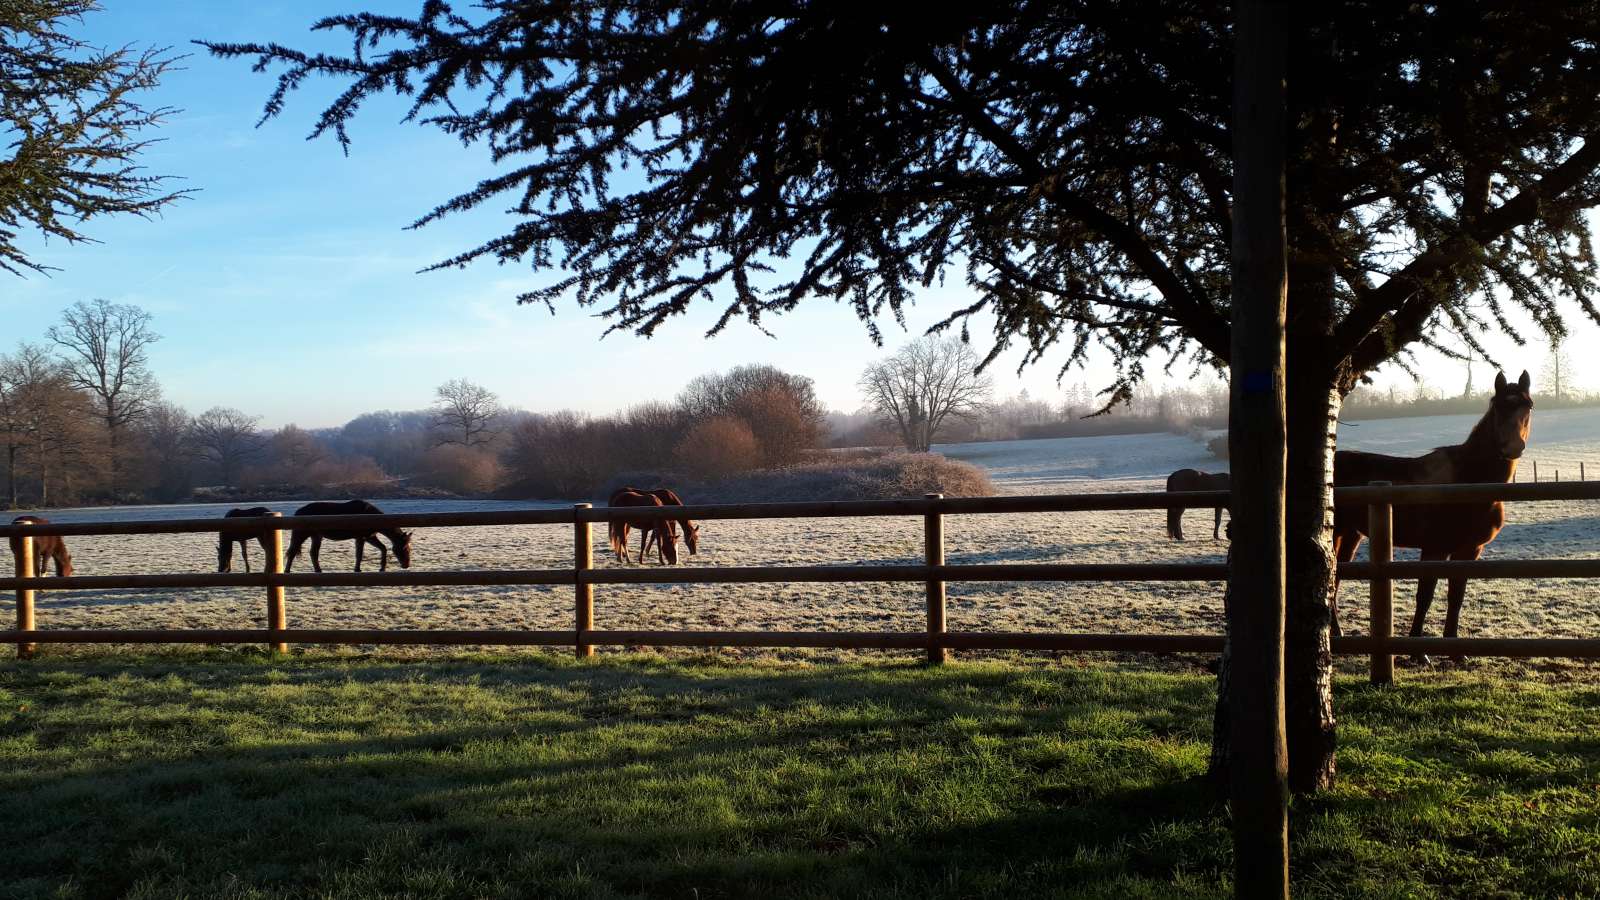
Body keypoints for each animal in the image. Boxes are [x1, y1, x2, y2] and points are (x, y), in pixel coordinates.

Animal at [283, 500, 413, 573]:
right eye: (404, 548)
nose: (406, 565)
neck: (369, 515)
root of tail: (298, 512)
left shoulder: (369, 537)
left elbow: (383, 548)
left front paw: (382, 568)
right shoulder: (362, 538)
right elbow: (359, 554)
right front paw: (357, 569)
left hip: (316, 536)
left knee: (313, 553)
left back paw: (318, 570)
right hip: (301, 535)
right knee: (292, 551)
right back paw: (287, 571)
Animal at [1331, 370, 1533, 660]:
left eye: (1528, 406)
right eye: (1498, 406)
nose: (1513, 446)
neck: (1467, 479)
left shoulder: (1469, 550)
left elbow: (1456, 595)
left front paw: (1456, 651)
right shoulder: (1435, 548)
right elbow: (1425, 594)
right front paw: (1418, 652)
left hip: (1350, 535)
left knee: (1334, 580)